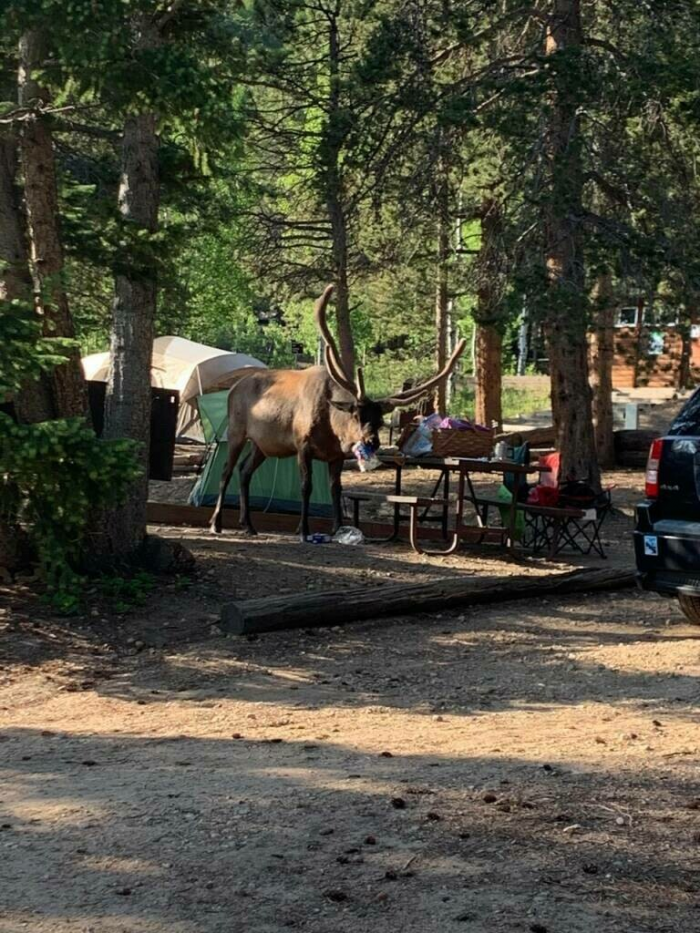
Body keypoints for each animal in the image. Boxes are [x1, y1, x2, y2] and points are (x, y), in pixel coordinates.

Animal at [211, 284, 468, 540]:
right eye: (356, 415)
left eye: (380, 421)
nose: (372, 441)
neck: (331, 427)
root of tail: (233, 388)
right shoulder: (302, 444)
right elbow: (306, 486)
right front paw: (303, 530)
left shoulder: (335, 455)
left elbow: (336, 488)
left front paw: (337, 528)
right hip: (236, 431)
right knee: (226, 471)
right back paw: (216, 523)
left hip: (263, 445)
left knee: (244, 471)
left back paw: (248, 524)